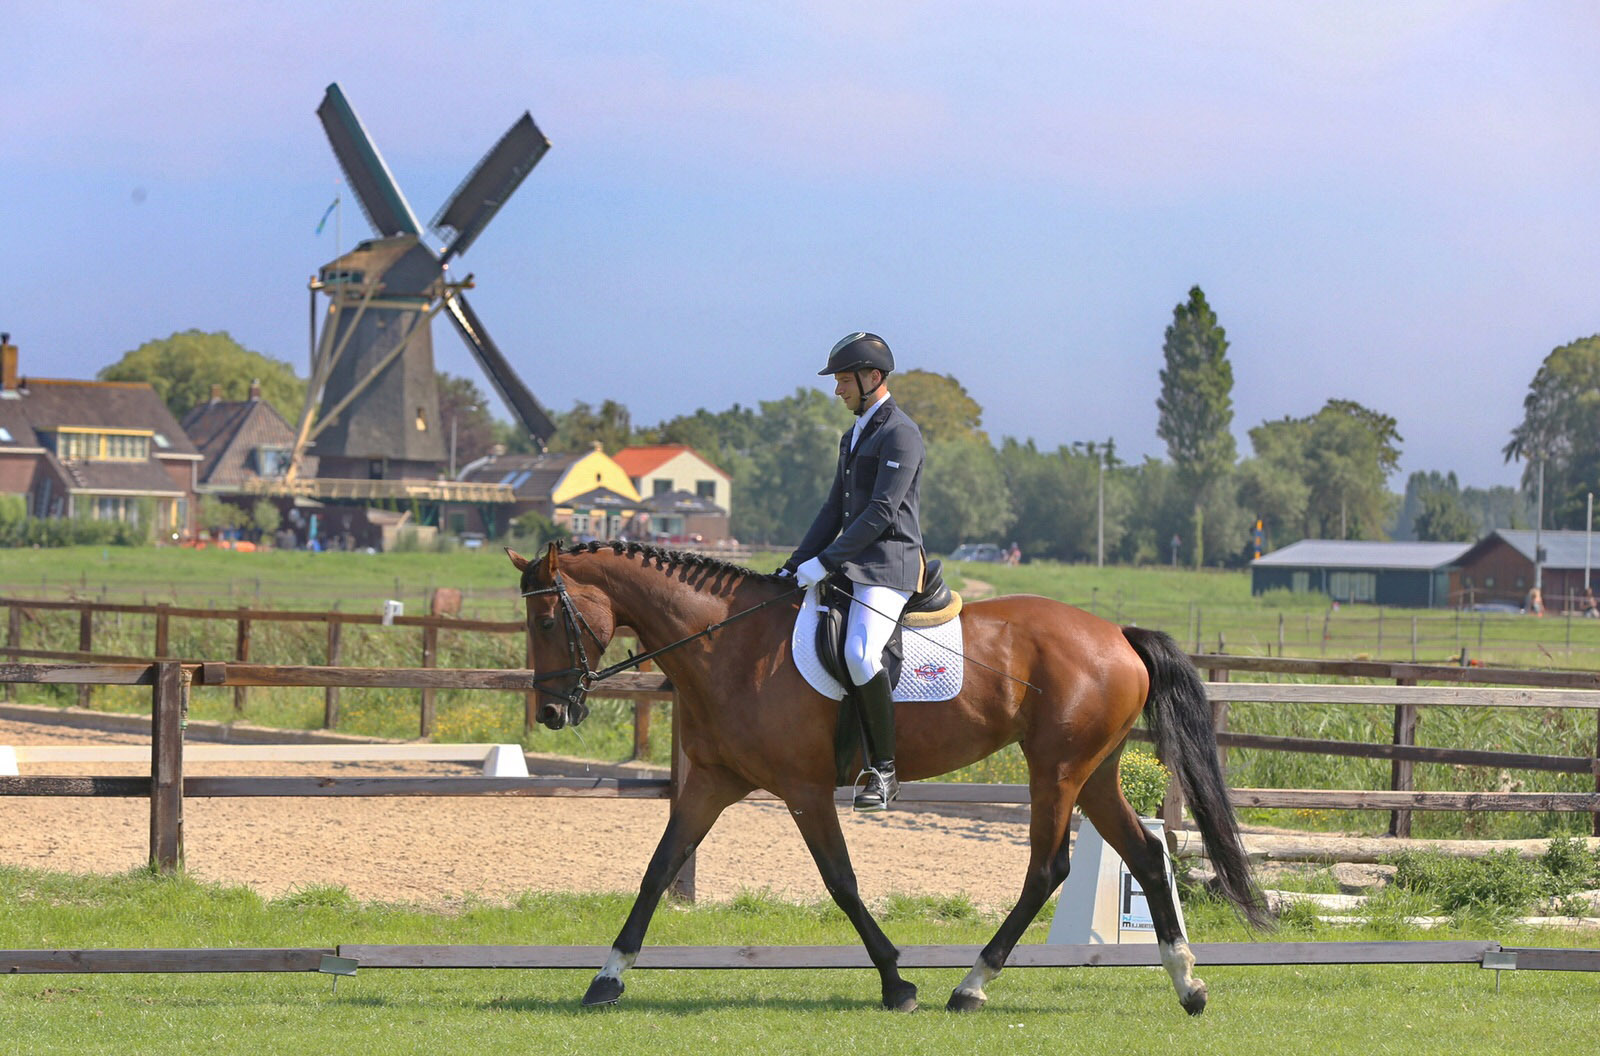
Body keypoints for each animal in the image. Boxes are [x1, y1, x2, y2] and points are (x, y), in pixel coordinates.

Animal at [508, 544, 1260, 1017]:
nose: (551, 712)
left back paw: (972, 986)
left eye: (546, 619)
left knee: (1048, 868)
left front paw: (897, 983)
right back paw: (1187, 984)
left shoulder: (804, 791)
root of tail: (1117, 635)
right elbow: (659, 868)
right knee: (1145, 855)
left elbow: (841, 882)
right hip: (1095, 771)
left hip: (1057, 770)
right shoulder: (713, 783)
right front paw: (606, 978)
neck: (730, 645)